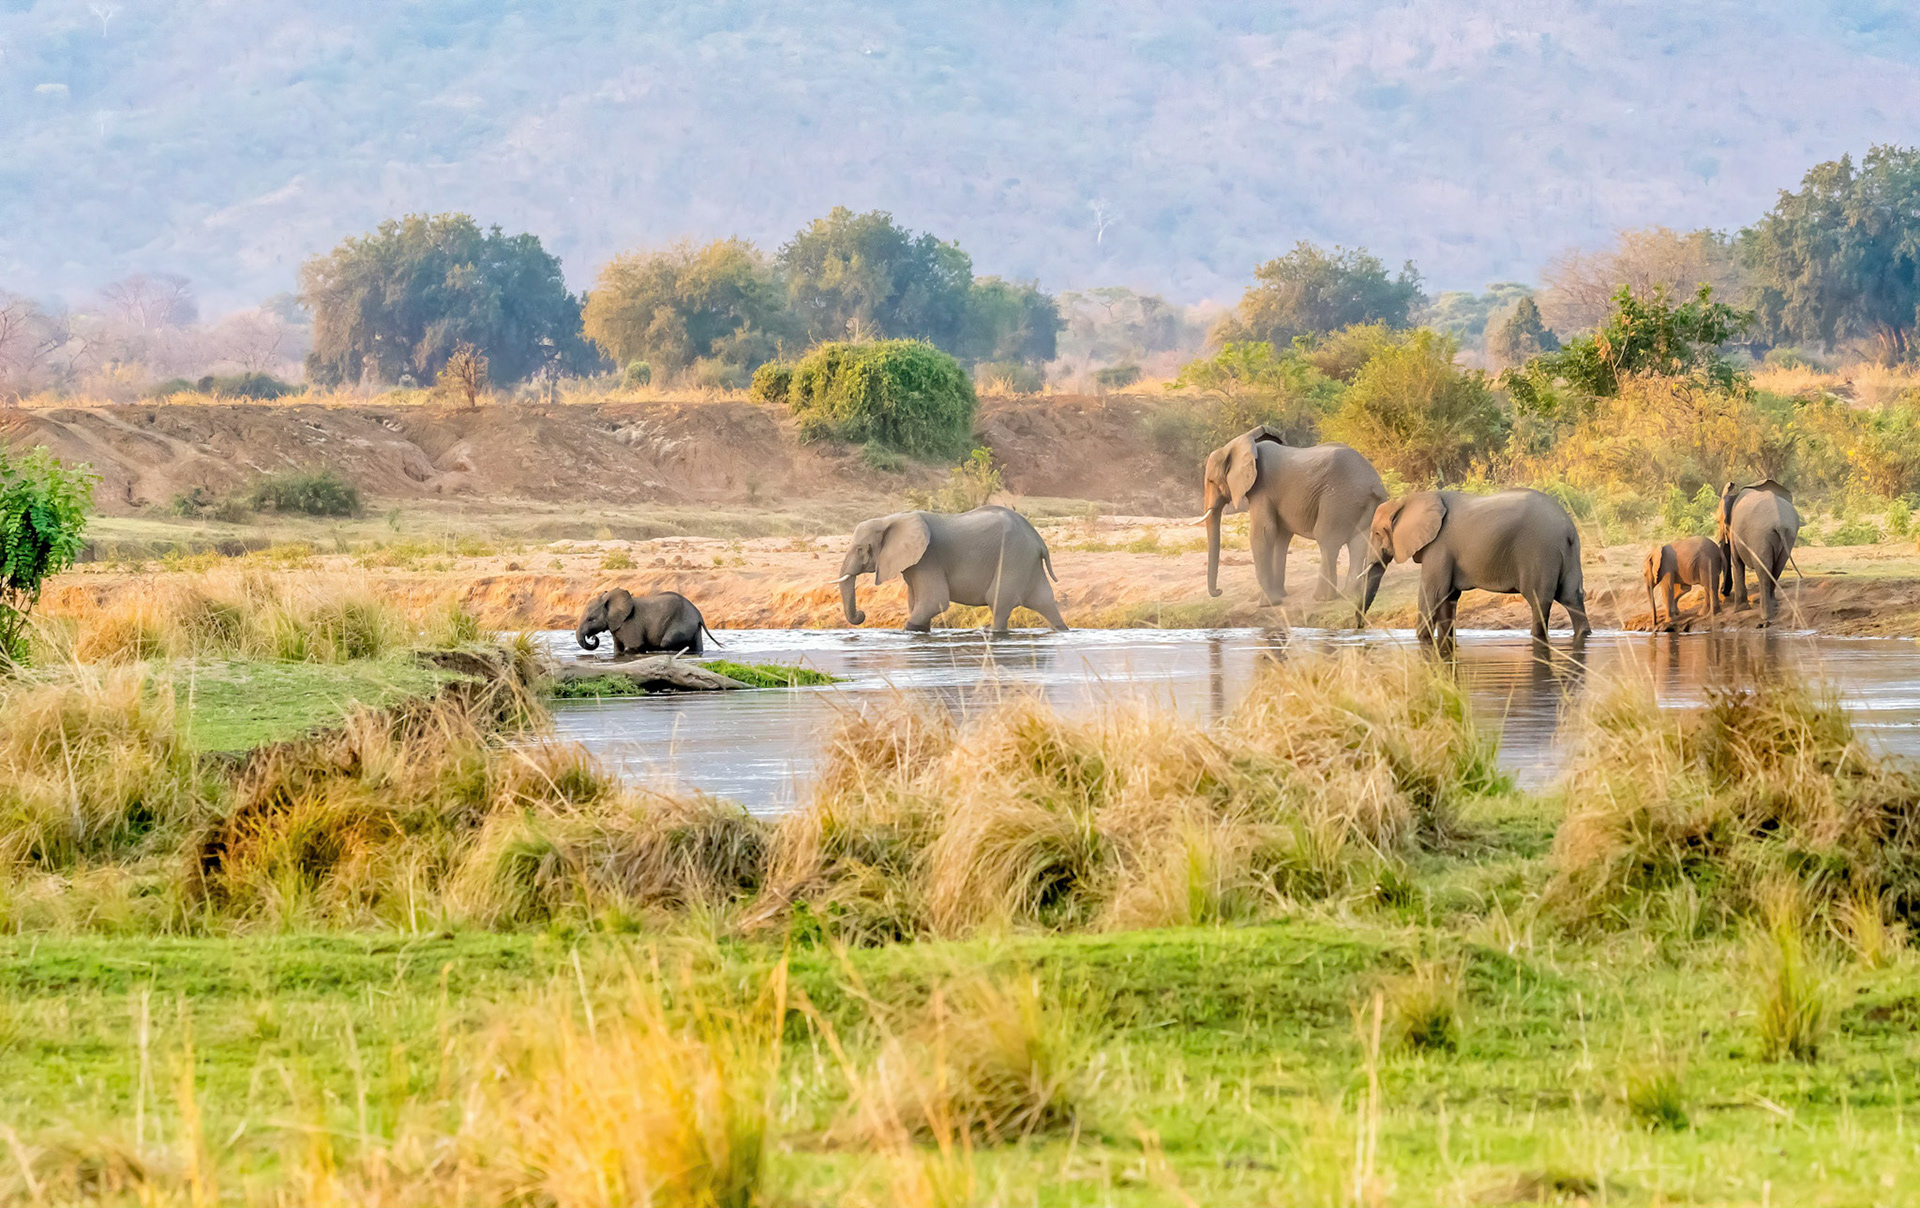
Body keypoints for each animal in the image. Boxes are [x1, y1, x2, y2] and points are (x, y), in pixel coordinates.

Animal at [575, 588, 717, 655]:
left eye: (591, 619)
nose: (593, 637)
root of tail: (699, 614)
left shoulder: (629, 623)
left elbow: (634, 646)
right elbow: (618, 649)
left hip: (682, 624)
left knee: (667, 643)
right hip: (693, 627)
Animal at [833, 505, 1068, 634]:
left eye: (861, 549)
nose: (862, 614)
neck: (891, 518)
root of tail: (1040, 541)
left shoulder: (928, 558)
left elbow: (935, 600)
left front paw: (909, 628)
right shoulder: (915, 564)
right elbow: (915, 601)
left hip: (1014, 557)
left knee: (998, 599)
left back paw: (990, 631)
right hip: (1026, 561)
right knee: (1045, 600)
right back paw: (1061, 630)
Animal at [1199, 426, 1389, 606]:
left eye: (1211, 481)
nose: (1219, 591)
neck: (1239, 444)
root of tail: (1375, 482)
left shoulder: (1262, 488)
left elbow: (1263, 532)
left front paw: (1268, 604)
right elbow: (1280, 536)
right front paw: (1279, 596)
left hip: (1339, 499)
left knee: (1327, 540)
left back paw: (1322, 598)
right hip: (1364, 503)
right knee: (1359, 542)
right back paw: (1350, 595)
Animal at [1361, 488, 1590, 652]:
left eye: (1377, 533)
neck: (1405, 501)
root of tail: (1567, 527)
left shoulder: (1439, 547)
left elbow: (1433, 593)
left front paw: (1422, 640)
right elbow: (1448, 598)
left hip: (1540, 551)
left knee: (1538, 601)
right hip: (1569, 552)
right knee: (1572, 597)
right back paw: (1584, 633)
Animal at [1717, 479, 1801, 622]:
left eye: (1718, 522)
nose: (1723, 591)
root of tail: (1779, 522)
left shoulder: (1735, 532)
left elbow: (1737, 562)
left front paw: (1740, 610)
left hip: (1760, 536)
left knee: (1764, 572)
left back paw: (1766, 617)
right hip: (1789, 534)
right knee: (1777, 568)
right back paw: (1773, 606)